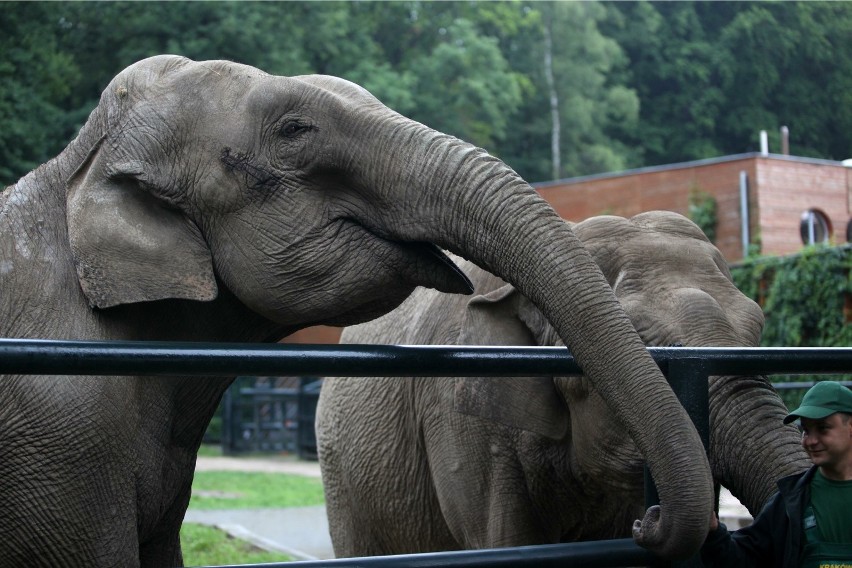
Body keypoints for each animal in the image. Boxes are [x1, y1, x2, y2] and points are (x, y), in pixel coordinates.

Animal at [316, 210, 808, 560]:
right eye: (635, 339)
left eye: (758, 327)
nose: (649, 523)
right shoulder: (458, 422)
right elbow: (508, 542)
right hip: (340, 473)